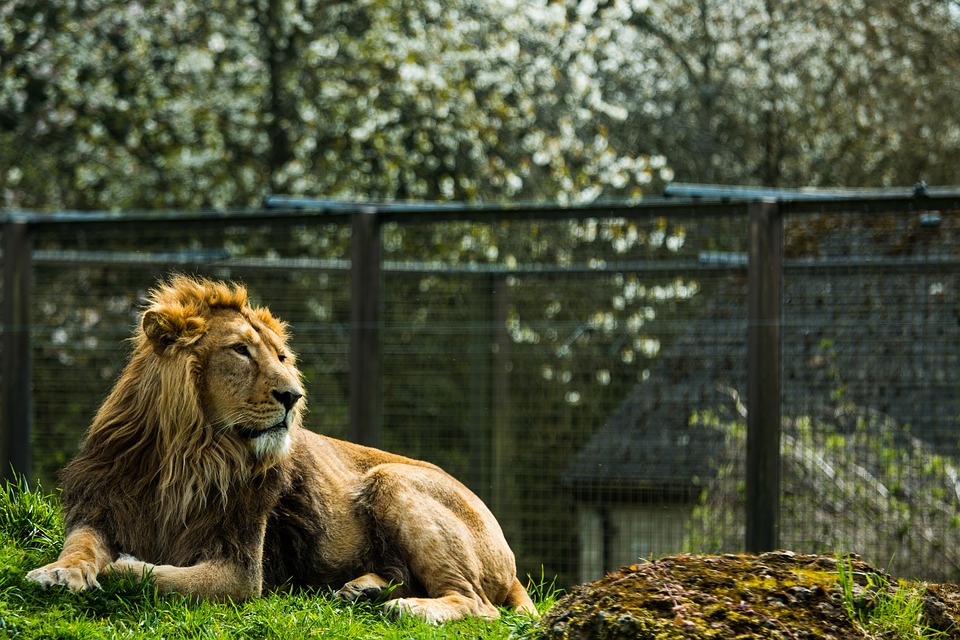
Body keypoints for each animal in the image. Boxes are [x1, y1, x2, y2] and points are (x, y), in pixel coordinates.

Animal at [26, 275, 537, 623]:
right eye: (240, 350)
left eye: (282, 357)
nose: (293, 395)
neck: (189, 455)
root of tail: (510, 558)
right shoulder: (100, 508)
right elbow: (80, 546)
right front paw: (60, 573)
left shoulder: (241, 569)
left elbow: (155, 576)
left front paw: (124, 566)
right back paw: (366, 590)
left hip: (391, 478)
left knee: (480, 604)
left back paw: (409, 608)